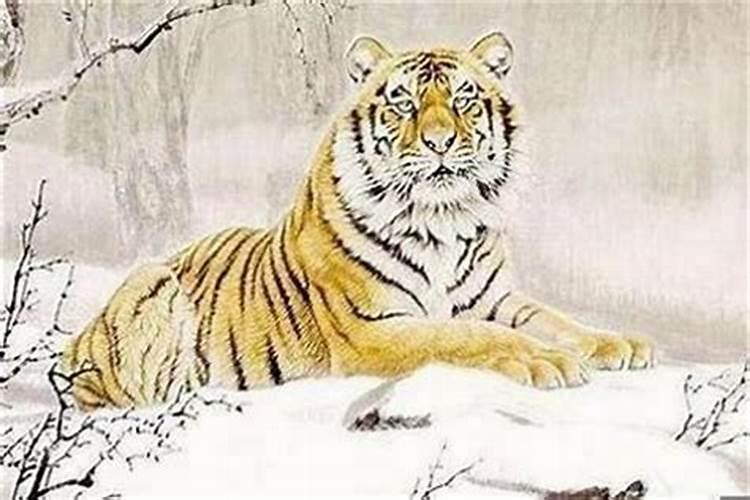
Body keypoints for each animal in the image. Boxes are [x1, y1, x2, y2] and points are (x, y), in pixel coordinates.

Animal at [61, 32, 655, 410]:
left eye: (463, 100)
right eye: (404, 103)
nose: (440, 142)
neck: (444, 220)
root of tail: (75, 346)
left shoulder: (490, 298)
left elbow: (553, 319)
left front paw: (620, 345)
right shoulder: (374, 329)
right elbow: (465, 337)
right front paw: (548, 364)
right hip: (150, 279)